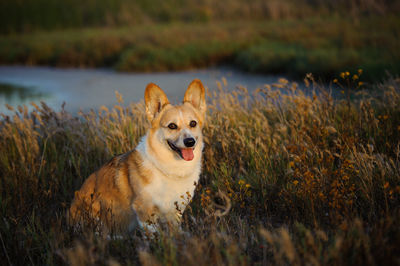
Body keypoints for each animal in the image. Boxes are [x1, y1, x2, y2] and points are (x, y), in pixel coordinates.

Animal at [69, 79, 206, 233]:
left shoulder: (175, 212)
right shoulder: (145, 212)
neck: (170, 169)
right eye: (172, 126)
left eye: (193, 123)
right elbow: (154, 235)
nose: (190, 141)